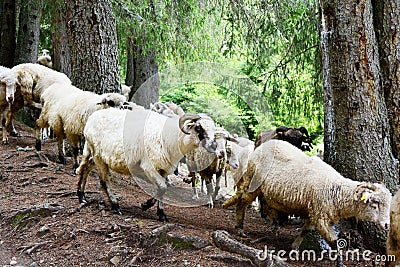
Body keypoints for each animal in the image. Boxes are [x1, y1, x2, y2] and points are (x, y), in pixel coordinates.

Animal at [75, 109, 219, 222]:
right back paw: (115, 206)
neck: (172, 139)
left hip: (99, 156)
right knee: (104, 181)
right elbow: (162, 187)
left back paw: (81, 196)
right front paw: (146, 205)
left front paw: (161, 214)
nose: (214, 146)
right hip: (98, 155)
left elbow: (162, 190)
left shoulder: (164, 170)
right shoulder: (148, 167)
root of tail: (92, 117)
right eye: (198, 127)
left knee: (86, 168)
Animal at [225, 140, 390, 266]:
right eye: (375, 203)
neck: (336, 190)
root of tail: (263, 145)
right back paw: (240, 228)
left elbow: (305, 230)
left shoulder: (313, 212)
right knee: (242, 201)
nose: (387, 225)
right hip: (253, 181)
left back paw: (275, 226)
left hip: (268, 191)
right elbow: (333, 241)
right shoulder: (320, 217)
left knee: (267, 205)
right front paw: (339, 262)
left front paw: (294, 248)